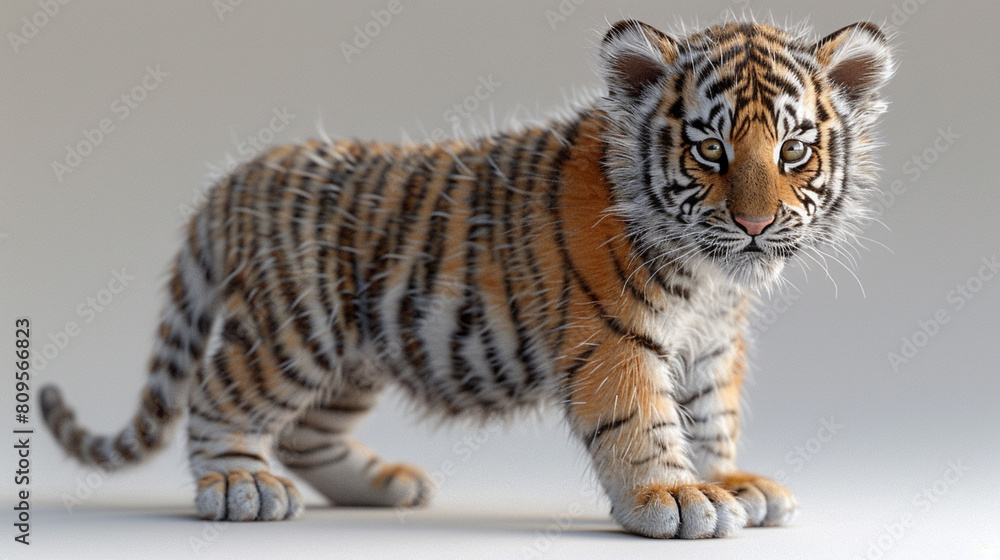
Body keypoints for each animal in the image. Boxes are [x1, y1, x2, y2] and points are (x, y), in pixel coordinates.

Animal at [40, 18, 893, 538]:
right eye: (710, 151)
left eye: (792, 152)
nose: (754, 224)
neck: (711, 275)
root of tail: (237, 177)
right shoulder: (615, 338)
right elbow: (644, 421)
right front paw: (674, 498)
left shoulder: (710, 342)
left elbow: (710, 415)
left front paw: (730, 481)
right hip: (294, 333)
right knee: (221, 397)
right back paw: (237, 487)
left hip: (356, 354)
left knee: (305, 435)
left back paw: (384, 486)